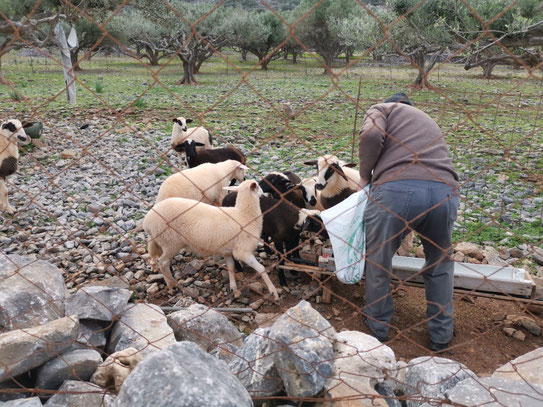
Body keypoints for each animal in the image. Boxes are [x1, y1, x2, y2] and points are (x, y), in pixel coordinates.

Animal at [143, 180, 280, 302]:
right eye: (258, 187)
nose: (264, 194)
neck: (244, 215)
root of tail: (147, 221)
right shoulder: (243, 252)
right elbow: (261, 269)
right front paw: (273, 292)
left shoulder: (227, 251)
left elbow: (231, 267)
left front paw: (234, 289)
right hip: (170, 242)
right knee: (163, 263)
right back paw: (172, 285)